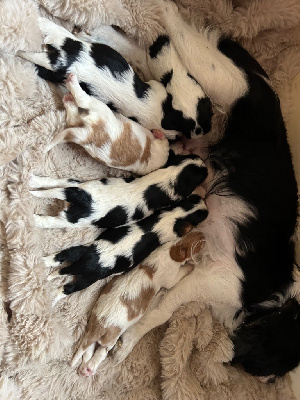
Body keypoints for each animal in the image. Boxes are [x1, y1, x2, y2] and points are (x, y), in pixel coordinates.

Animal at [29, 152, 207, 228]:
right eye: (202, 175)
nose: (204, 164)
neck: (171, 173)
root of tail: (83, 197)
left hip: (79, 184)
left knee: (55, 183)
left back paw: (34, 181)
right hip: (76, 220)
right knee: (50, 221)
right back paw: (34, 220)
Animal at [44, 194, 209, 300]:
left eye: (193, 199)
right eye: (201, 216)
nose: (204, 202)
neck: (177, 215)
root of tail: (87, 262)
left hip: (82, 250)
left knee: (62, 257)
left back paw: (47, 264)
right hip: (88, 279)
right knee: (67, 289)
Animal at [71, 230, 205, 376]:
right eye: (199, 244)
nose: (204, 234)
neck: (171, 249)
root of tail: (99, 325)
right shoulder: (171, 278)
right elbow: (180, 274)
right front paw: (190, 266)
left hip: (92, 329)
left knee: (87, 349)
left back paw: (84, 368)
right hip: (110, 339)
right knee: (100, 354)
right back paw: (89, 369)